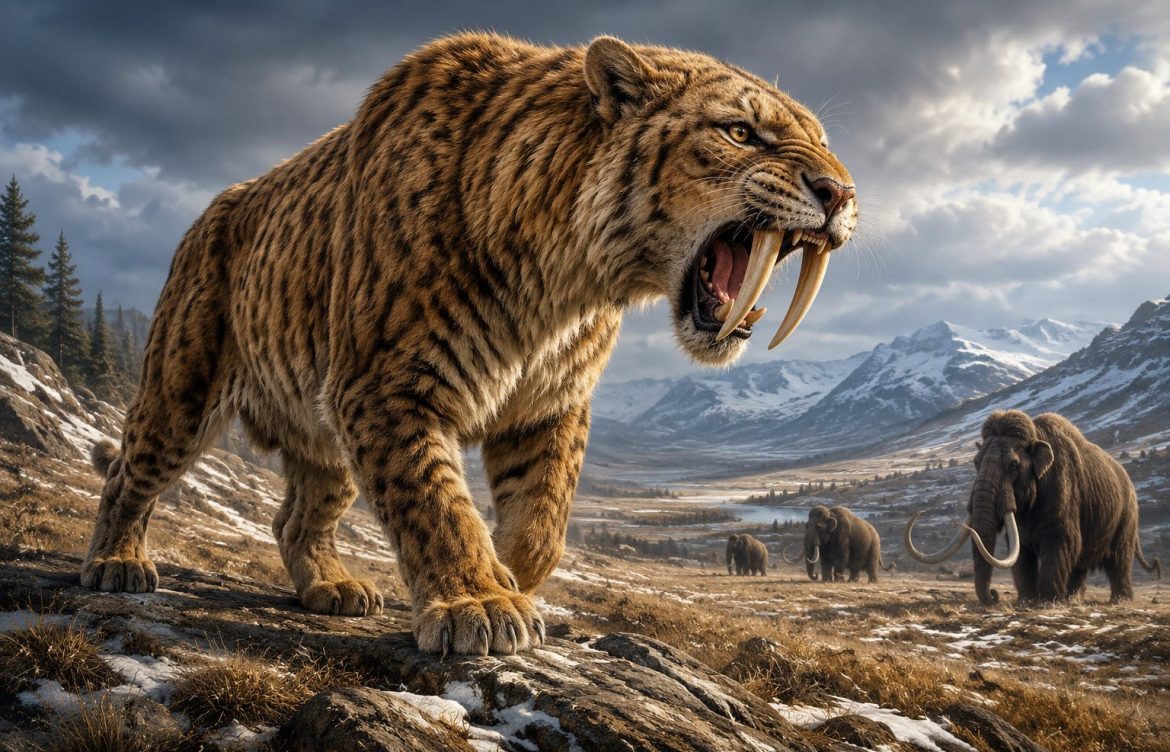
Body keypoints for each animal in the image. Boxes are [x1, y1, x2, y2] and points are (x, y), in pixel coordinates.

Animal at [80, 32, 857, 655]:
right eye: (741, 132)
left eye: (823, 142)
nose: (841, 193)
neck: (565, 284)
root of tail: (209, 212)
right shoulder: (387, 385)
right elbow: (434, 502)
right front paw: (477, 603)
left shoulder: (548, 404)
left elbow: (542, 520)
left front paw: (510, 576)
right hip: (181, 389)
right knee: (131, 474)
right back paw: (116, 564)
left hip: (322, 438)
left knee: (295, 518)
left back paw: (332, 588)